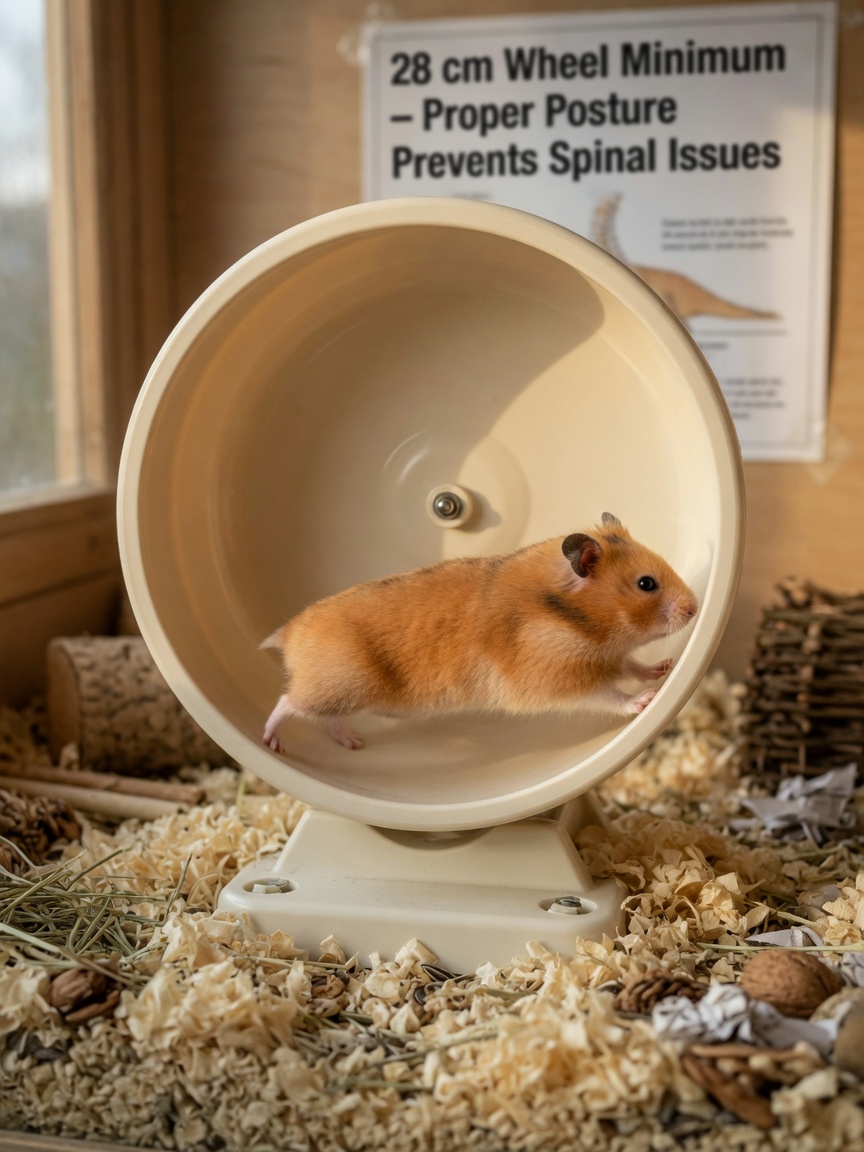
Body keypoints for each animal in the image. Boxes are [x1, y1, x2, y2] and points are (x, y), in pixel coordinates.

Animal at [261, 513, 698, 752]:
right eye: (646, 584)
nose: (695, 608)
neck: (572, 618)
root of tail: (289, 632)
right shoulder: (556, 677)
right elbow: (608, 695)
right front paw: (645, 701)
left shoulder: (612, 656)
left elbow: (633, 664)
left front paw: (664, 668)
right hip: (340, 685)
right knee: (286, 702)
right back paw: (273, 743)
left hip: (348, 694)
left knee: (331, 720)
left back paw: (353, 743)